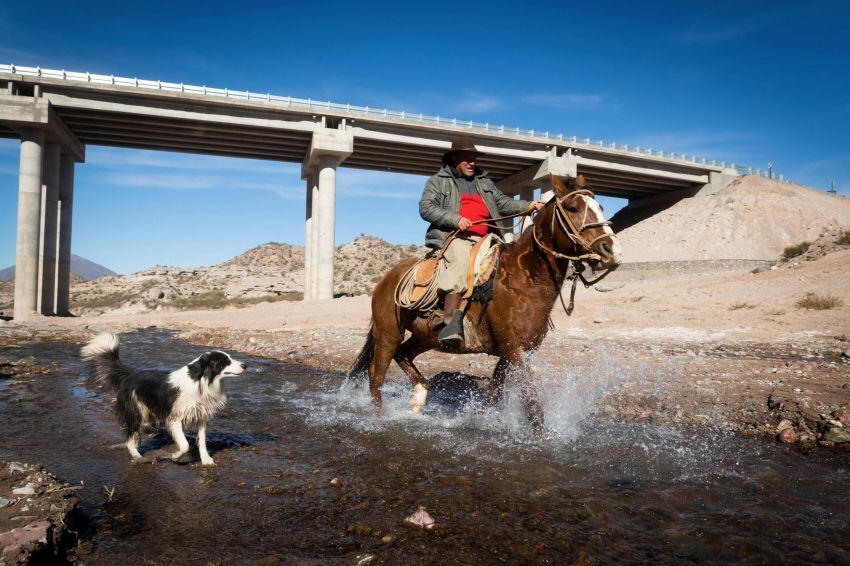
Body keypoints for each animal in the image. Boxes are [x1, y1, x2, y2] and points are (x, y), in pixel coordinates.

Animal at [80, 332, 245, 466]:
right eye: (225, 362)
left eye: (230, 358)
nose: (245, 364)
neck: (201, 382)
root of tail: (130, 374)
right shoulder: (174, 418)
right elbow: (185, 445)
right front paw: (175, 456)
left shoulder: (201, 416)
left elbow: (202, 441)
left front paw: (205, 460)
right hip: (136, 412)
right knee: (130, 437)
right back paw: (137, 456)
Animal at [348, 178, 620, 430]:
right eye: (573, 208)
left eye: (600, 206)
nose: (611, 250)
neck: (522, 279)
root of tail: (387, 277)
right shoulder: (515, 350)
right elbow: (531, 402)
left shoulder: (512, 353)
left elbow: (493, 393)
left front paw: (477, 421)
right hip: (388, 334)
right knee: (376, 375)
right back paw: (381, 416)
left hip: (425, 338)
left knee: (403, 355)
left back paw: (419, 397)